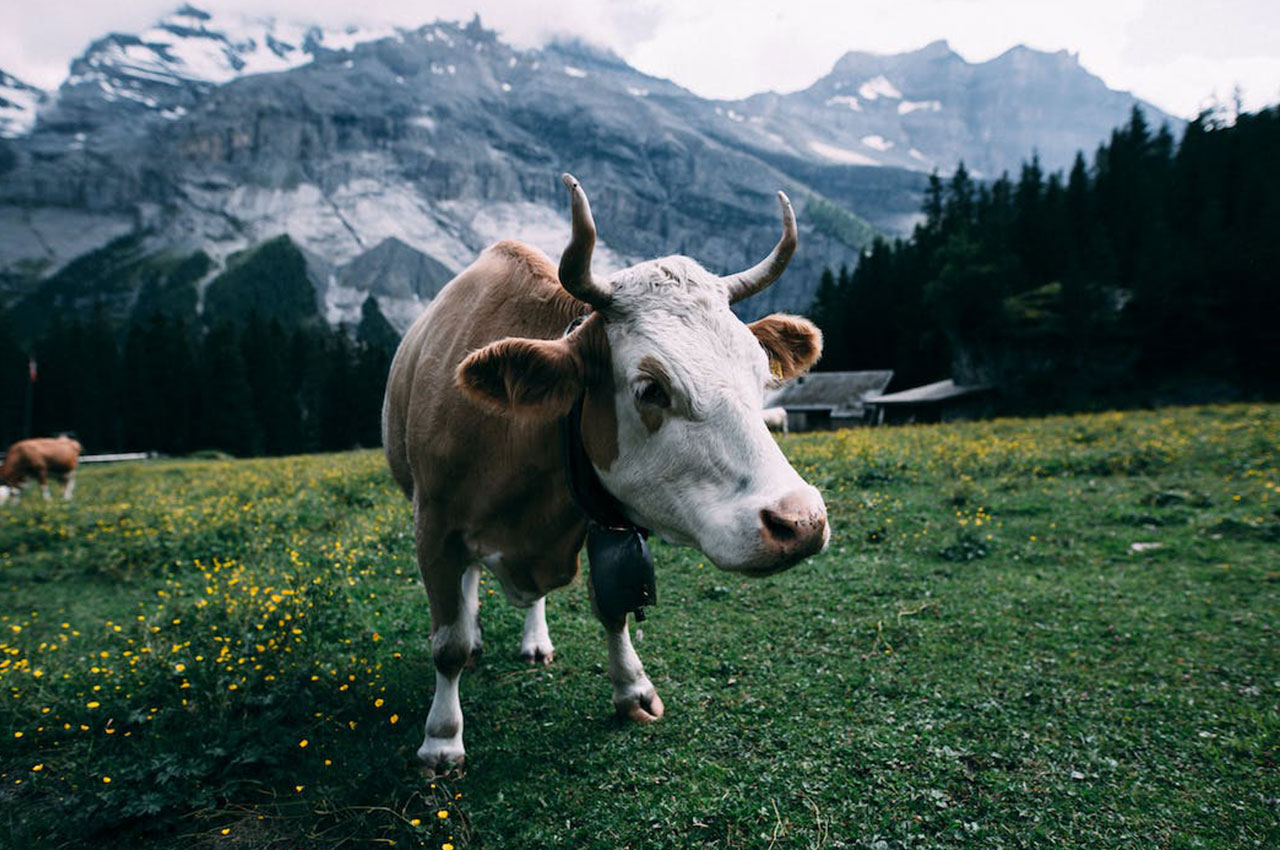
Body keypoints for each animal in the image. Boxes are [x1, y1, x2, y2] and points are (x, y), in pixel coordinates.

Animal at [381, 174, 829, 768]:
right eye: (651, 387)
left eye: (761, 373)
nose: (801, 522)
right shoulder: (433, 527)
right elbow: (447, 643)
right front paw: (441, 738)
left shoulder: (601, 518)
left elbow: (613, 606)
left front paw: (633, 690)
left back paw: (535, 639)